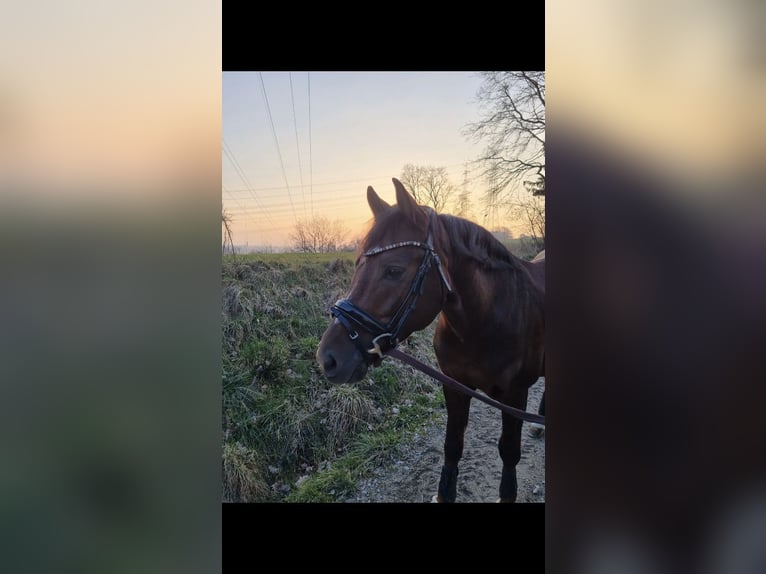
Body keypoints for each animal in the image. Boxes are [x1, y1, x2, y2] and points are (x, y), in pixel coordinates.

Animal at [318, 179, 544, 504]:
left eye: (394, 270)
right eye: (358, 263)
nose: (328, 358)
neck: (484, 322)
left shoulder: (516, 394)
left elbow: (509, 452)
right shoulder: (454, 386)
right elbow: (452, 447)